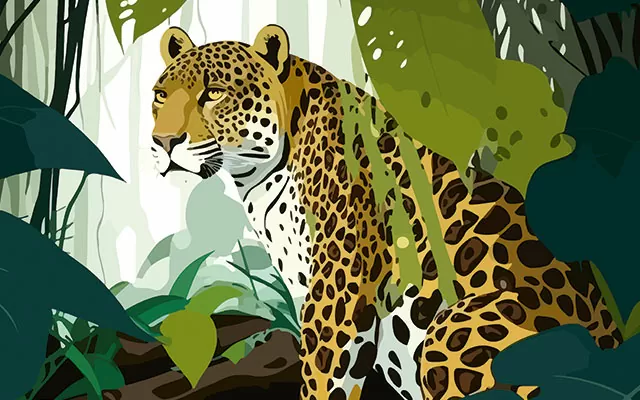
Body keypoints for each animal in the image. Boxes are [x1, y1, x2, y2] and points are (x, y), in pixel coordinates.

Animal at [149, 24, 623, 400]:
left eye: (214, 94)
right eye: (159, 96)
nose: (162, 142)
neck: (257, 177)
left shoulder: (335, 292)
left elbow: (323, 378)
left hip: (456, 334)